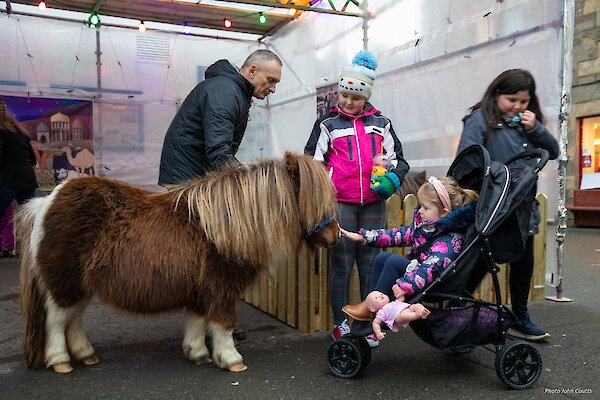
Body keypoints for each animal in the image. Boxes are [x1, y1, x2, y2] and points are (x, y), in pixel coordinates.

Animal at [17, 152, 338, 374]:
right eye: (312, 200)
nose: (334, 236)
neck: (226, 227)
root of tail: (46, 203)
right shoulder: (220, 290)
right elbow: (223, 325)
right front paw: (231, 359)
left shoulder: (199, 291)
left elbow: (197, 322)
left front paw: (198, 354)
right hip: (63, 284)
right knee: (56, 321)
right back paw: (60, 360)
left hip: (80, 286)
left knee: (73, 320)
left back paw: (86, 354)